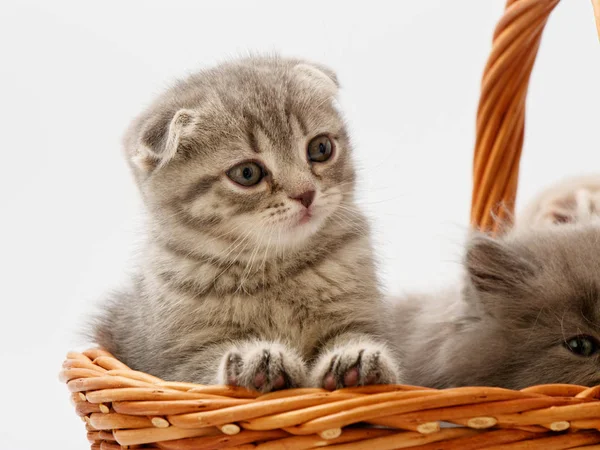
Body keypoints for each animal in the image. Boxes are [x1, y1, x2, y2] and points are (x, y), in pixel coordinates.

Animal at [94, 57, 400, 394]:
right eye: (247, 173)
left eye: (320, 148)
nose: (306, 194)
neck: (275, 266)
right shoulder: (172, 362)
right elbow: (204, 366)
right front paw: (258, 358)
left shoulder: (364, 319)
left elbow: (357, 336)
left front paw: (354, 358)